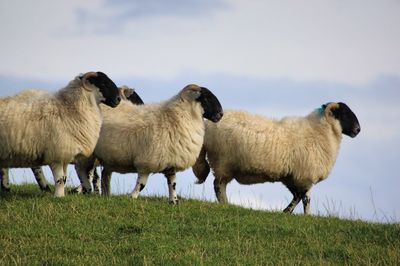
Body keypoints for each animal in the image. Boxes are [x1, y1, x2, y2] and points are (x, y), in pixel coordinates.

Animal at [75, 84, 223, 203]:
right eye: (206, 98)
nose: (221, 114)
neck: (180, 116)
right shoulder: (147, 161)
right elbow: (142, 184)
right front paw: (132, 197)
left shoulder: (170, 161)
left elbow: (172, 183)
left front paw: (174, 201)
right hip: (89, 153)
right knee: (82, 170)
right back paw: (86, 189)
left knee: (104, 175)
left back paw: (105, 195)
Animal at [192, 102, 360, 214]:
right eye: (344, 113)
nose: (358, 129)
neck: (320, 131)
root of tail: (208, 125)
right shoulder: (305, 175)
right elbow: (305, 199)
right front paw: (304, 215)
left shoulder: (293, 177)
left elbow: (298, 196)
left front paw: (289, 212)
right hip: (223, 161)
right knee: (218, 185)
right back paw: (225, 204)